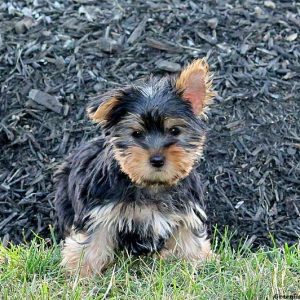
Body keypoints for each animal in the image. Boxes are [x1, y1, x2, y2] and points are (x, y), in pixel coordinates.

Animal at [54, 58, 216, 276]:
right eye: (137, 134)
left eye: (175, 130)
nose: (157, 159)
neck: (152, 185)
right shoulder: (101, 212)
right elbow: (92, 243)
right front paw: (82, 275)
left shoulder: (185, 211)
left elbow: (188, 240)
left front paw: (197, 264)